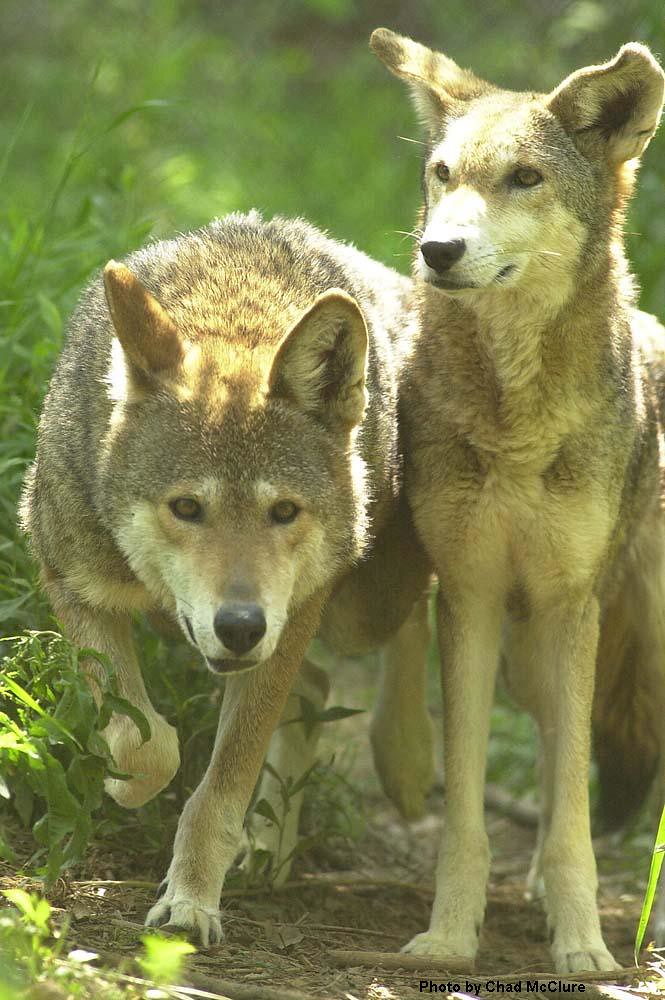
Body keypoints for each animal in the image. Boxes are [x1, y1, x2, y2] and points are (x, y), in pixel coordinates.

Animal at [19, 211, 433, 943]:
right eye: (187, 508)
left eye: (284, 511)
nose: (240, 627)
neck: (232, 315)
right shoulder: (70, 579)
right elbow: (144, 744)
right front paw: (124, 787)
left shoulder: (288, 624)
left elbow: (219, 790)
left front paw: (190, 905)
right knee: (317, 686)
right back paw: (270, 854)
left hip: (356, 610)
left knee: (414, 616)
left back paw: (407, 760)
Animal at [371, 28, 665, 972]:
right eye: (441, 173)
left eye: (524, 178)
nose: (437, 251)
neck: (517, 421)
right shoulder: (470, 596)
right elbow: (468, 803)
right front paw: (447, 935)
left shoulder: (570, 603)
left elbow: (571, 810)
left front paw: (582, 951)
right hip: (527, 653)